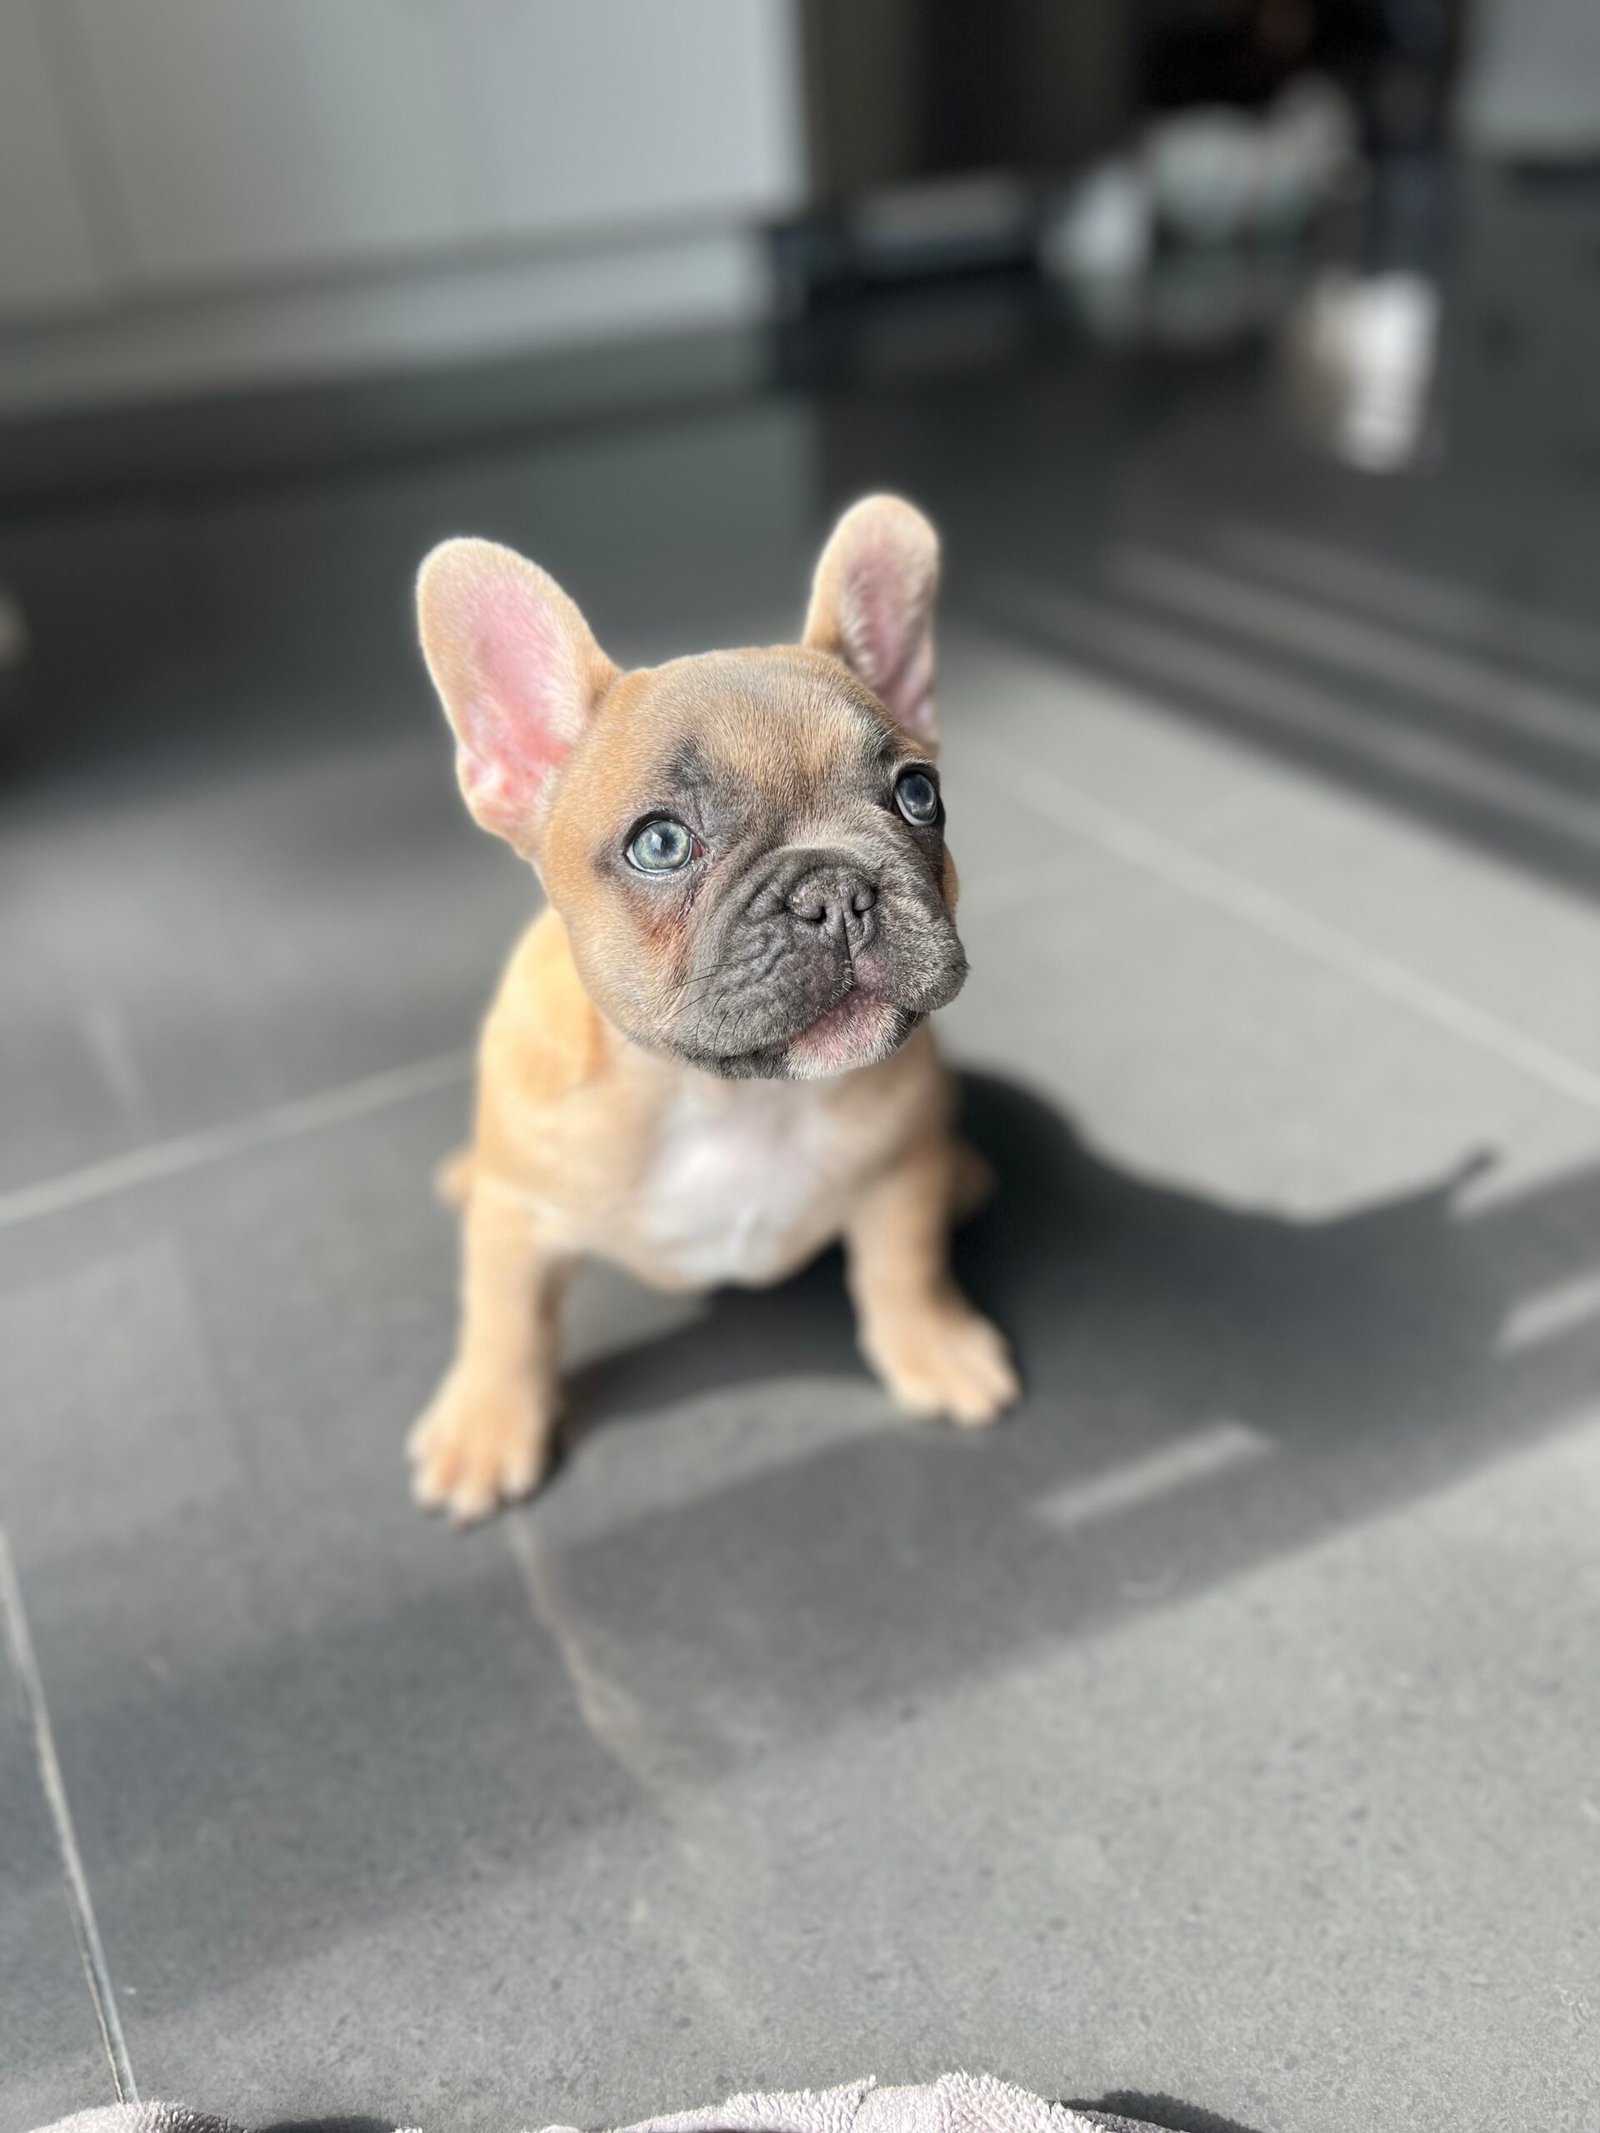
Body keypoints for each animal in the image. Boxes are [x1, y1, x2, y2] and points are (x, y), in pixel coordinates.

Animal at [409, 494, 1019, 1521]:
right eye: (660, 844)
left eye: (917, 793)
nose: (836, 891)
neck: (727, 1097)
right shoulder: (517, 1223)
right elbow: (502, 1322)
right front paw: (488, 1424)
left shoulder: (895, 1180)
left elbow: (904, 1267)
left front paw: (933, 1343)